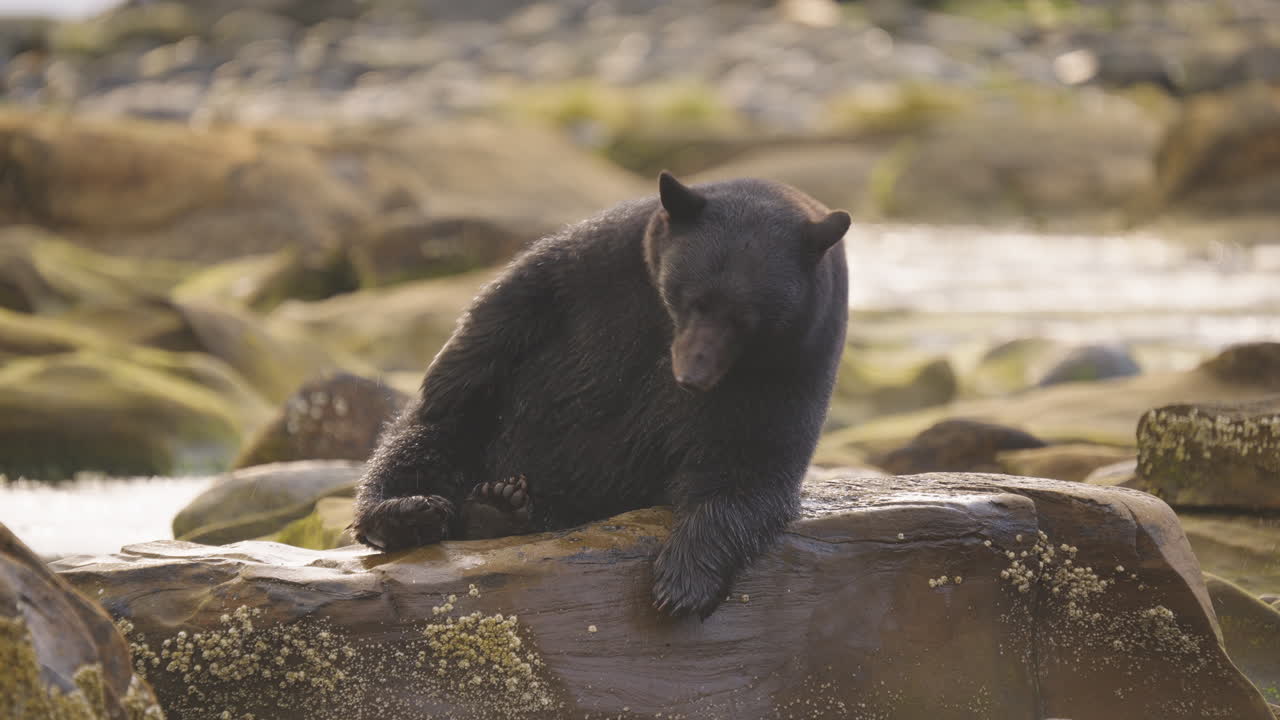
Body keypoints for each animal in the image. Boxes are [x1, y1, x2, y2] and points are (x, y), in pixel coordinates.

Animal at [352, 171, 850, 619]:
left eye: (746, 320)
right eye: (689, 299)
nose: (692, 376)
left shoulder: (792, 363)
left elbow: (750, 464)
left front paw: (683, 581)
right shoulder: (601, 259)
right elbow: (514, 301)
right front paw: (445, 375)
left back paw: (496, 509)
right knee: (418, 444)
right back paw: (407, 511)